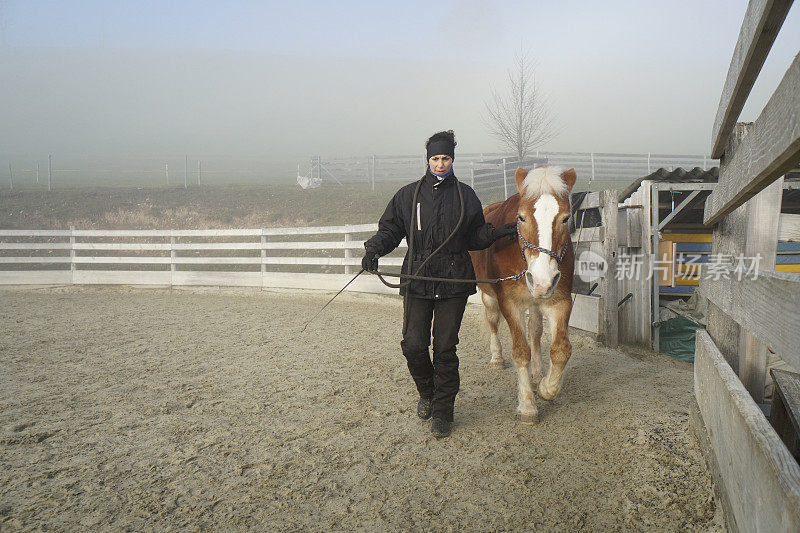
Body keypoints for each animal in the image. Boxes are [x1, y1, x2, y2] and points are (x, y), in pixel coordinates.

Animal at [468, 166, 576, 424]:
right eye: (521, 217)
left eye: (566, 218)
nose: (542, 279)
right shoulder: (510, 304)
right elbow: (520, 351)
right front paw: (527, 406)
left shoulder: (559, 301)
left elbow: (560, 350)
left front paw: (546, 387)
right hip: (490, 297)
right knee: (493, 322)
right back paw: (497, 358)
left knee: (534, 332)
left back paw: (537, 374)